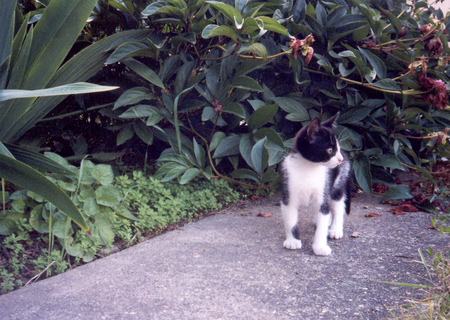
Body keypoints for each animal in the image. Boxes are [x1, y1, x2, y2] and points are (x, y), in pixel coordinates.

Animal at [282, 114, 352, 256]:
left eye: (338, 148)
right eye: (330, 150)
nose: (340, 158)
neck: (309, 168)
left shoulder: (323, 190)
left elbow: (323, 219)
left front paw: (320, 247)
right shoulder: (288, 193)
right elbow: (290, 220)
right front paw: (292, 241)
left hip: (339, 179)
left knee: (338, 204)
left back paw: (335, 229)